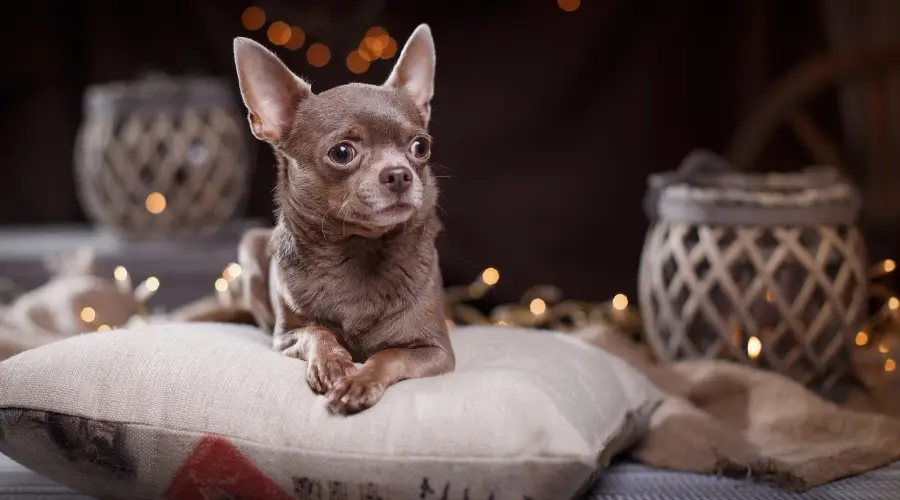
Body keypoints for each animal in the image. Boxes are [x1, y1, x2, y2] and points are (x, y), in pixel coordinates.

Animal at [227, 23, 450, 414]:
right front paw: (332, 362)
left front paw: (359, 381)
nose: (399, 174)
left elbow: (389, 354)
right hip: (251, 245)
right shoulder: (284, 337)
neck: (359, 248)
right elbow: (317, 331)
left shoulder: (435, 350)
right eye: (342, 152)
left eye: (420, 147)